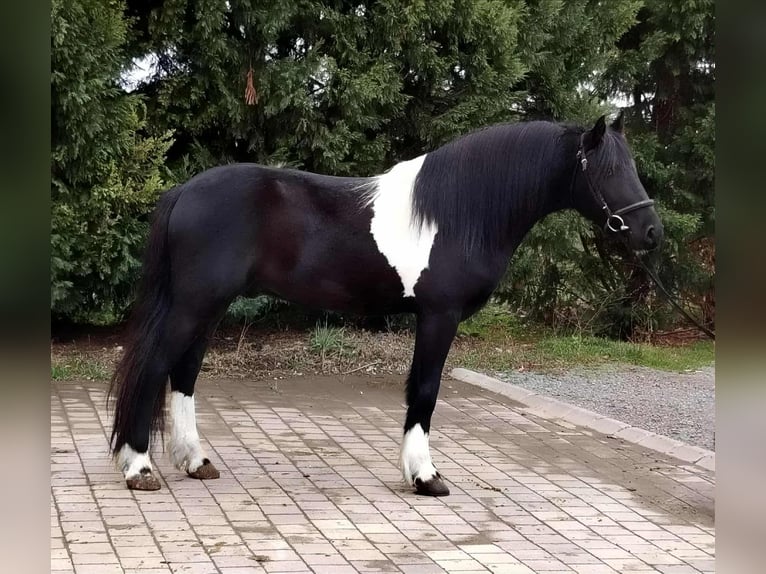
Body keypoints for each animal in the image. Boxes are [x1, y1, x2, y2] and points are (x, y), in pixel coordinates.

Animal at [109, 114, 663, 496]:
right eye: (608, 170)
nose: (652, 232)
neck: (459, 212)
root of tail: (184, 190)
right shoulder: (439, 316)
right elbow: (425, 390)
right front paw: (425, 476)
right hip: (193, 305)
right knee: (155, 368)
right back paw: (139, 468)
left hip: (207, 307)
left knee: (183, 374)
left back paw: (194, 461)